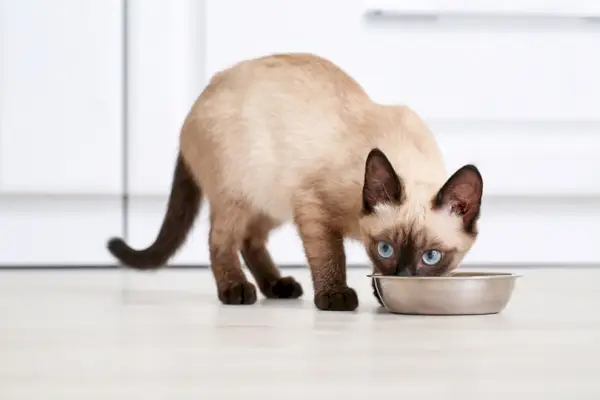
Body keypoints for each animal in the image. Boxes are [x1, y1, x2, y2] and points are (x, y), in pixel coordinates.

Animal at [106, 51, 482, 312]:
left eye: (431, 257)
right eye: (386, 248)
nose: (403, 277)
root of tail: (205, 91)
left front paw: (382, 295)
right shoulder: (313, 210)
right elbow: (330, 258)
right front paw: (335, 296)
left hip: (270, 202)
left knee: (250, 240)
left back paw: (278, 286)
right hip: (239, 194)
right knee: (220, 240)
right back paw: (236, 290)